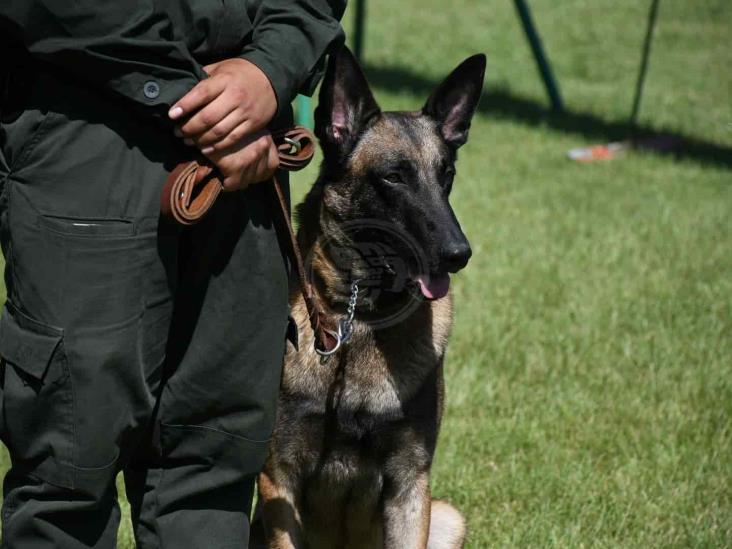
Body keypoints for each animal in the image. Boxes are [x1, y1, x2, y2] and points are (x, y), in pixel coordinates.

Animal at [252, 47, 486, 548]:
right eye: (394, 177)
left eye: (447, 175)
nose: (458, 254)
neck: (359, 318)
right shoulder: (278, 481)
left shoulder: (409, 483)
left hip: (448, 518)